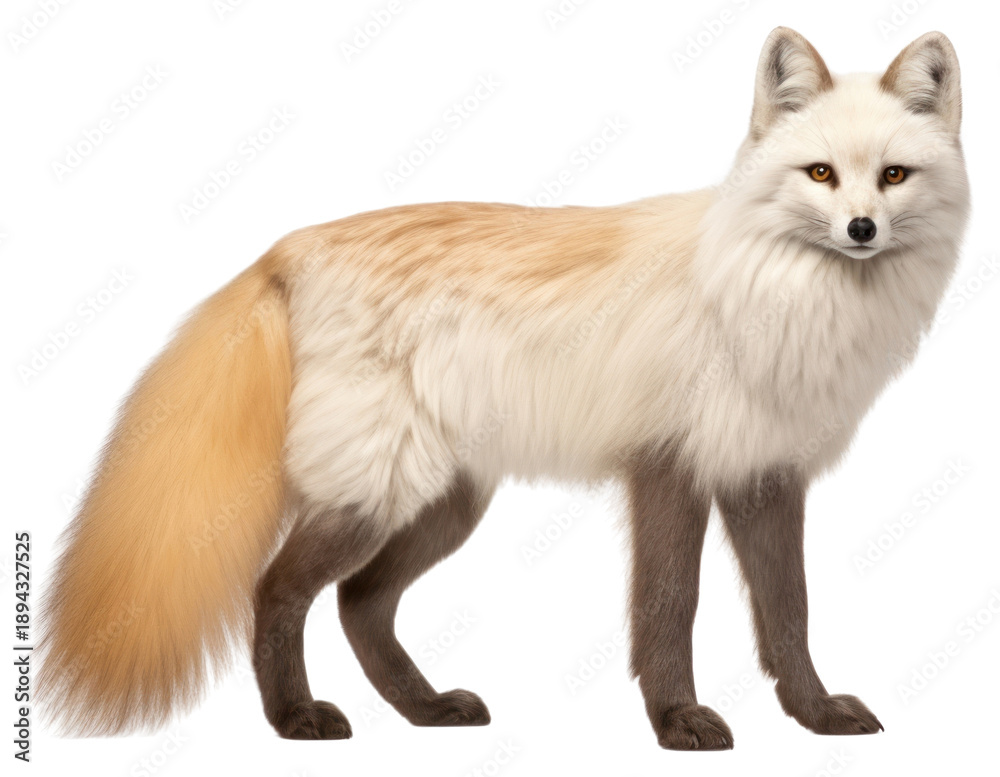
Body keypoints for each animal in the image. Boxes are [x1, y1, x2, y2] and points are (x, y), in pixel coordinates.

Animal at [39, 28, 969, 750]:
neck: (776, 297)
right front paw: (677, 721)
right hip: (377, 494)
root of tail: (286, 247)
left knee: (359, 602)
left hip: (442, 504)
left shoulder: (763, 471)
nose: (861, 229)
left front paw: (813, 714)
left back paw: (423, 709)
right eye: (820, 175)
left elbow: (790, 611)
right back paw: (295, 718)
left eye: (892, 176)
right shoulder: (669, 463)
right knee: (276, 589)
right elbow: (669, 606)